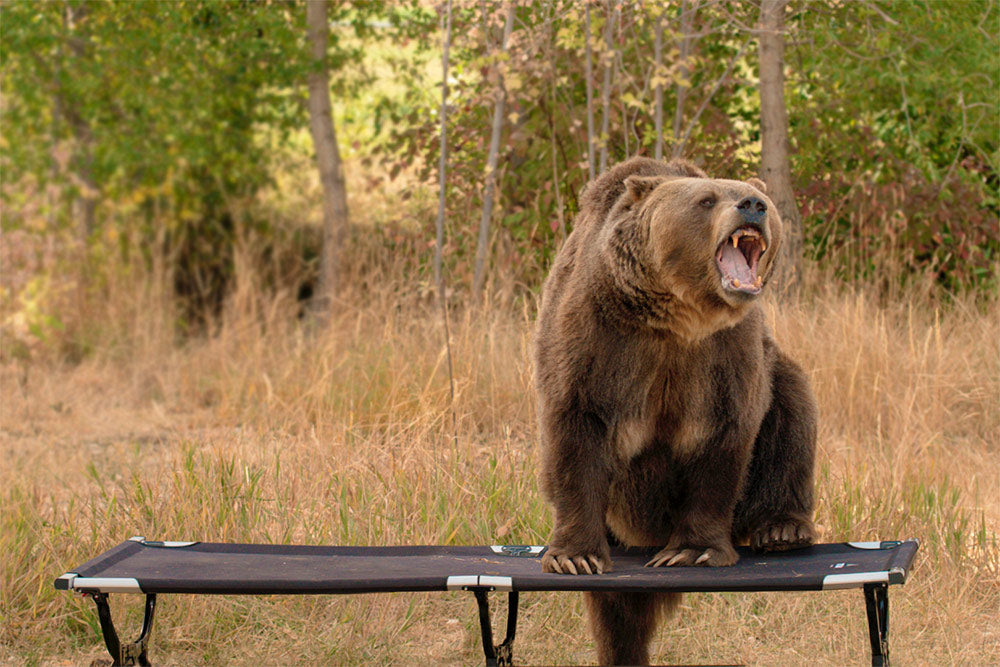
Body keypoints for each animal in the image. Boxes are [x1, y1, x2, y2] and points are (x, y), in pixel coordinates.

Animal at [536, 158, 816, 667]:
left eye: (752, 194)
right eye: (706, 200)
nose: (754, 204)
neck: (678, 320)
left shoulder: (724, 357)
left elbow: (724, 440)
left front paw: (692, 551)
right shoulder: (597, 337)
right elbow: (576, 432)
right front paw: (574, 556)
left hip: (779, 382)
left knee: (793, 411)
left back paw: (783, 527)